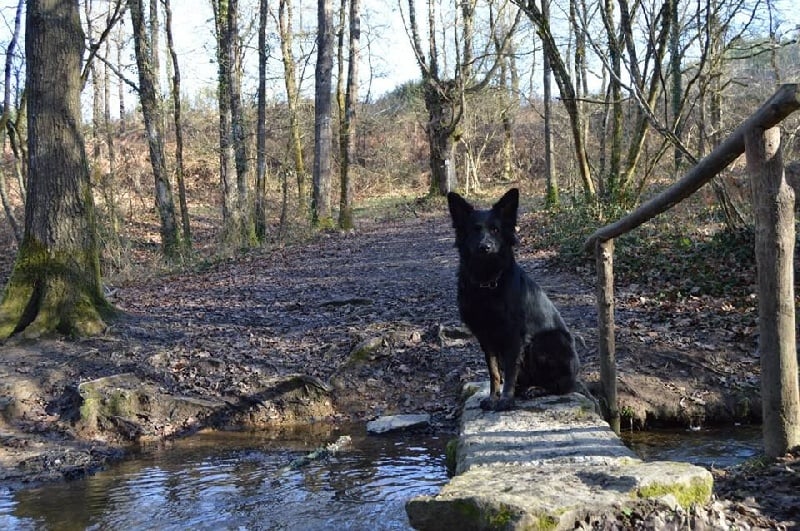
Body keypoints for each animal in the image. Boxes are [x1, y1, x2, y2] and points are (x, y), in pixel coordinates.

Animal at [446, 188, 580, 412]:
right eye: (475, 230)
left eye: (496, 230)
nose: (485, 247)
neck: (487, 282)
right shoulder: (486, 337)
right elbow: (494, 372)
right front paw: (493, 397)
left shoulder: (514, 336)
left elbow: (509, 371)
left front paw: (506, 400)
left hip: (544, 341)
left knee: (562, 386)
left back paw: (537, 389)